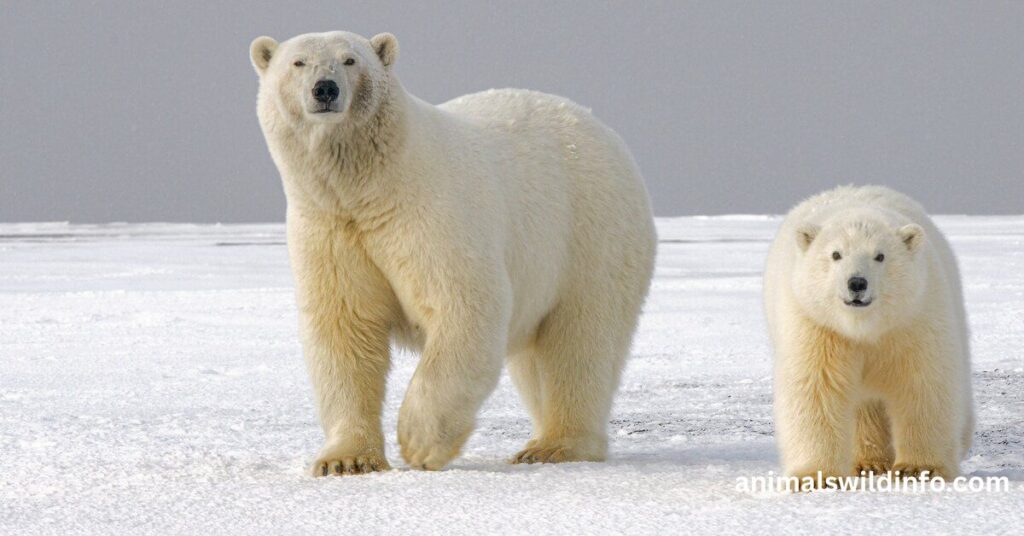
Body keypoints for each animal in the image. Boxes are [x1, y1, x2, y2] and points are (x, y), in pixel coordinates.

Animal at [249, 31, 656, 475]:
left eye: (350, 60)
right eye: (298, 63)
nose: (325, 89)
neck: (370, 187)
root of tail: (604, 130)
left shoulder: (429, 213)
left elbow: (463, 305)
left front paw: (419, 442)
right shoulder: (330, 229)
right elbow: (345, 328)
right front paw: (346, 460)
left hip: (590, 234)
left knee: (580, 340)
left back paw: (556, 445)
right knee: (536, 359)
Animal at [763, 185, 973, 482]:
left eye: (880, 255)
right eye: (836, 254)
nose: (857, 283)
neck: (865, 327)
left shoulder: (914, 318)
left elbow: (923, 383)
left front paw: (918, 468)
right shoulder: (816, 325)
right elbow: (816, 389)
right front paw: (815, 476)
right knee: (864, 407)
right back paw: (867, 463)